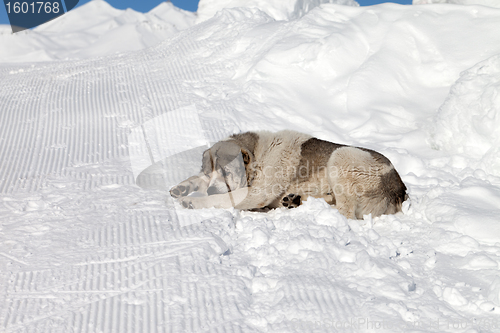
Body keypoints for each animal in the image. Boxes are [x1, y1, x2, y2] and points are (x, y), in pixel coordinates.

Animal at [170, 129, 408, 218]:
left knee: (346, 213)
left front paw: (191, 202)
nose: (211, 188)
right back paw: (293, 201)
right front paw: (183, 187)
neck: (260, 156)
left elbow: (220, 199)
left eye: (225, 171)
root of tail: (400, 190)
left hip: (342, 155)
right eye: (207, 171)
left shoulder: (256, 193)